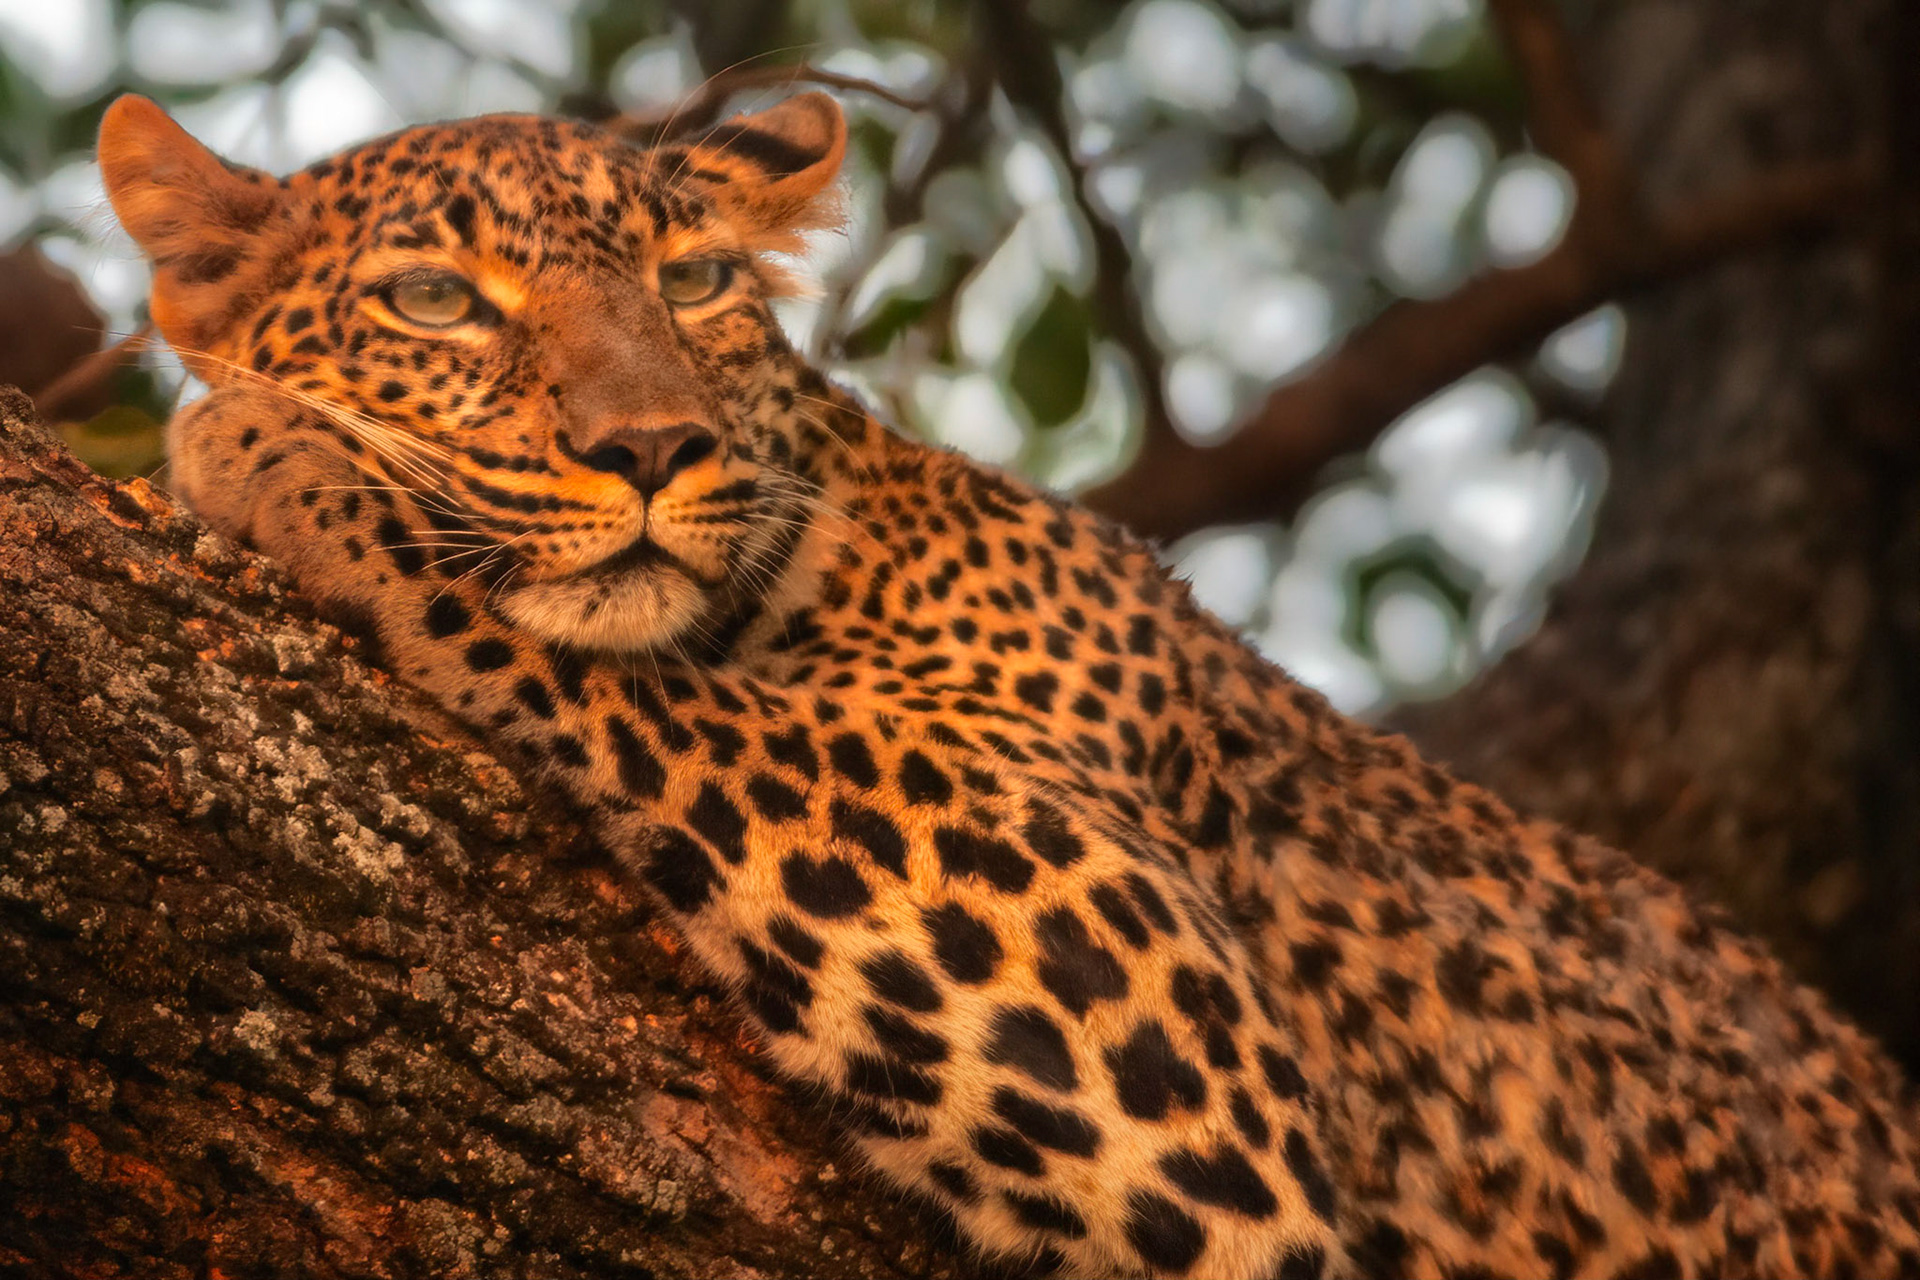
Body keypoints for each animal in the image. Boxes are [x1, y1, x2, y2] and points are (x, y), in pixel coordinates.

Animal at [95, 89, 1920, 1279]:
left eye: (694, 281)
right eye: (432, 303)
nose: (654, 450)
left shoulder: (1157, 1025)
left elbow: (704, 707)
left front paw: (275, 455)